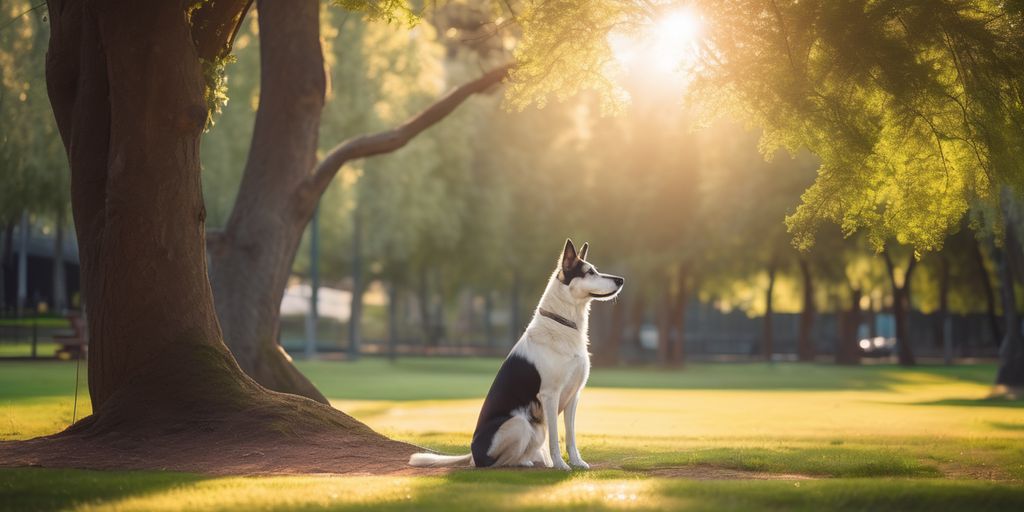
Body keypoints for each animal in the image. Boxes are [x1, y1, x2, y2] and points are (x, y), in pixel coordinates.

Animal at [409, 237, 622, 468]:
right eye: (589, 272)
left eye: (595, 270)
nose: (620, 280)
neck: (563, 323)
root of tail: (472, 453)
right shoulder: (550, 395)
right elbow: (555, 438)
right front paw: (560, 465)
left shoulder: (573, 396)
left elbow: (571, 436)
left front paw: (576, 462)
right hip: (521, 423)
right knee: (495, 462)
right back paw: (524, 462)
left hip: (535, 427)